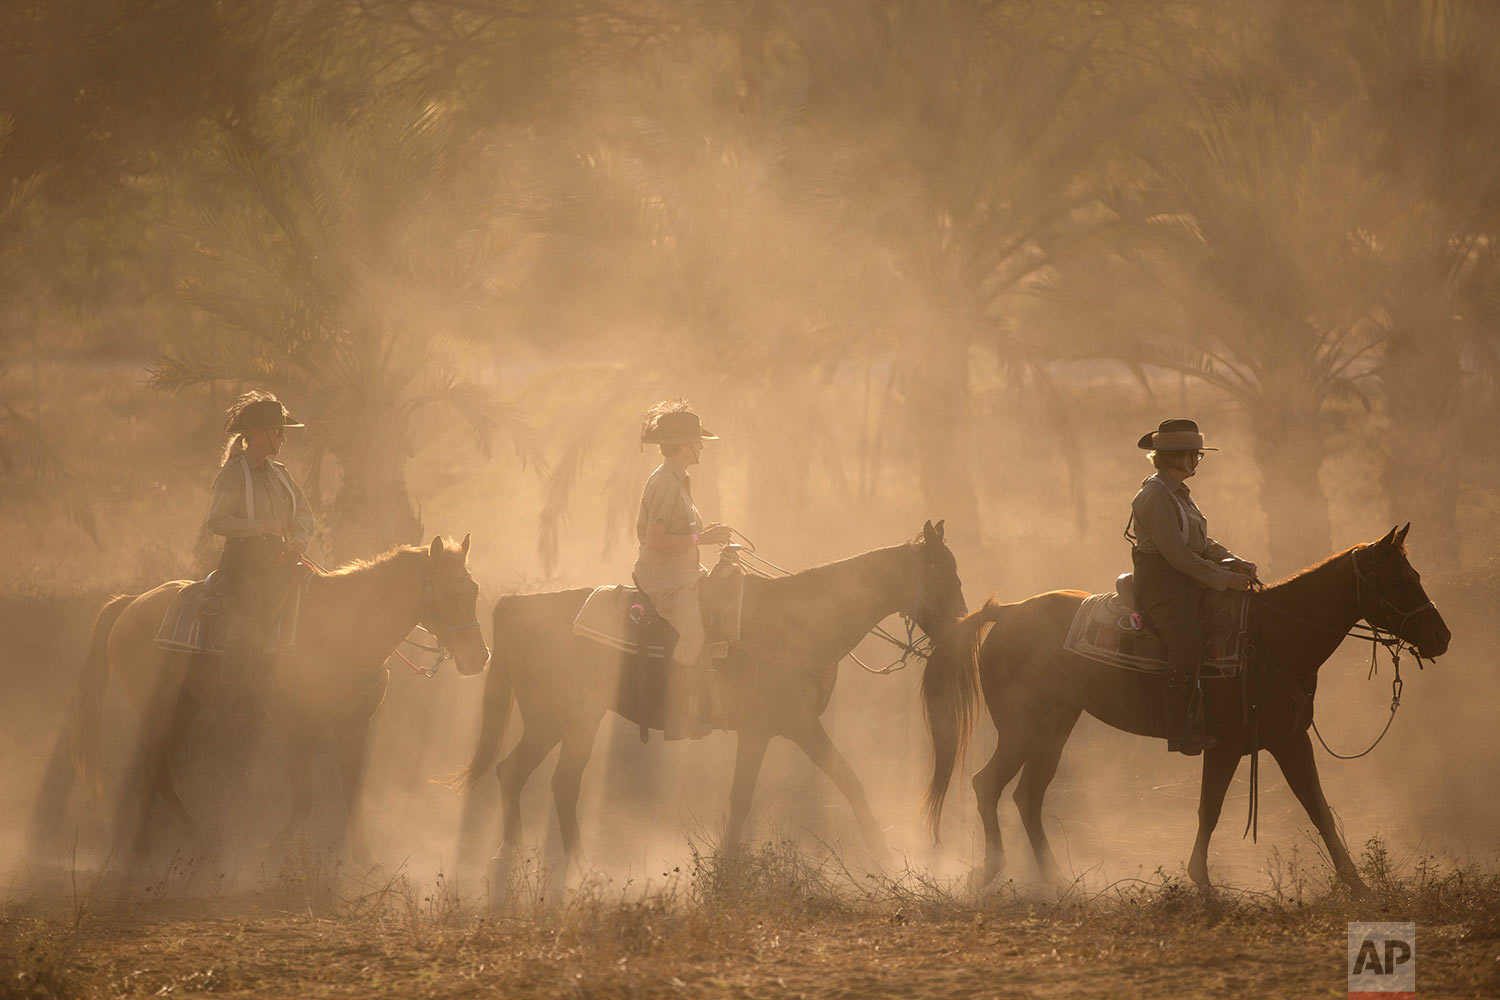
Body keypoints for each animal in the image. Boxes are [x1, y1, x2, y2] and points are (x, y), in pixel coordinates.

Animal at [58, 530, 489, 869]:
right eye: (446, 593)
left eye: (474, 590)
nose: (479, 658)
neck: (341, 630)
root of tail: (130, 603)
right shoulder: (294, 730)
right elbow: (304, 802)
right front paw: (266, 850)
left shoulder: (354, 727)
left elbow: (352, 793)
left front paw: (366, 860)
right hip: (158, 706)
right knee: (154, 767)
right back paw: (157, 846)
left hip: (185, 707)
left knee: (159, 769)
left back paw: (181, 842)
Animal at [459, 521, 972, 881]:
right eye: (944, 574)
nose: (961, 629)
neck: (798, 622)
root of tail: (519, 605)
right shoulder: (781, 728)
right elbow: (772, 793)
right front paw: (884, 860)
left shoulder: (780, 730)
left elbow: (821, 786)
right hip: (562, 719)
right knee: (535, 777)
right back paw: (533, 861)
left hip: (569, 722)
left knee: (537, 777)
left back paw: (539, 862)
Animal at [918, 527, 1446, 887]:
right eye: (1395, 578)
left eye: (1414, 574)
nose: (1442, 637)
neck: (1271, 637)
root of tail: (1007, 612)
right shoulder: (1224, 746)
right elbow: (1209, 809)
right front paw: (1202, 879)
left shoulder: (1290, 742)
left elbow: (1319, 809)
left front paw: (1357, 885)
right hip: (1023, 727)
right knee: (988, 784)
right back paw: (995, 869)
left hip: (1055, 726)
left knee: (1028, 794)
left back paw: (1054, 878)